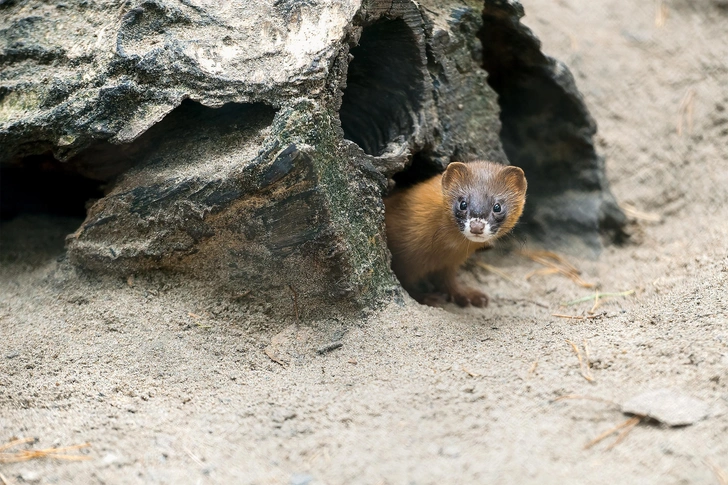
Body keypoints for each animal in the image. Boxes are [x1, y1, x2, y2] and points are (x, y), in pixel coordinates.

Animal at [384, 162, 528, 306]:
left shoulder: (448, 264)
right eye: (463, 203)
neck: (441, 254)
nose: (476, 227)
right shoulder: (404, 262)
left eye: (497, 207)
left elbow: (447, 282)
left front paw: (469, 295)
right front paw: (428, 297)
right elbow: (408, 286)